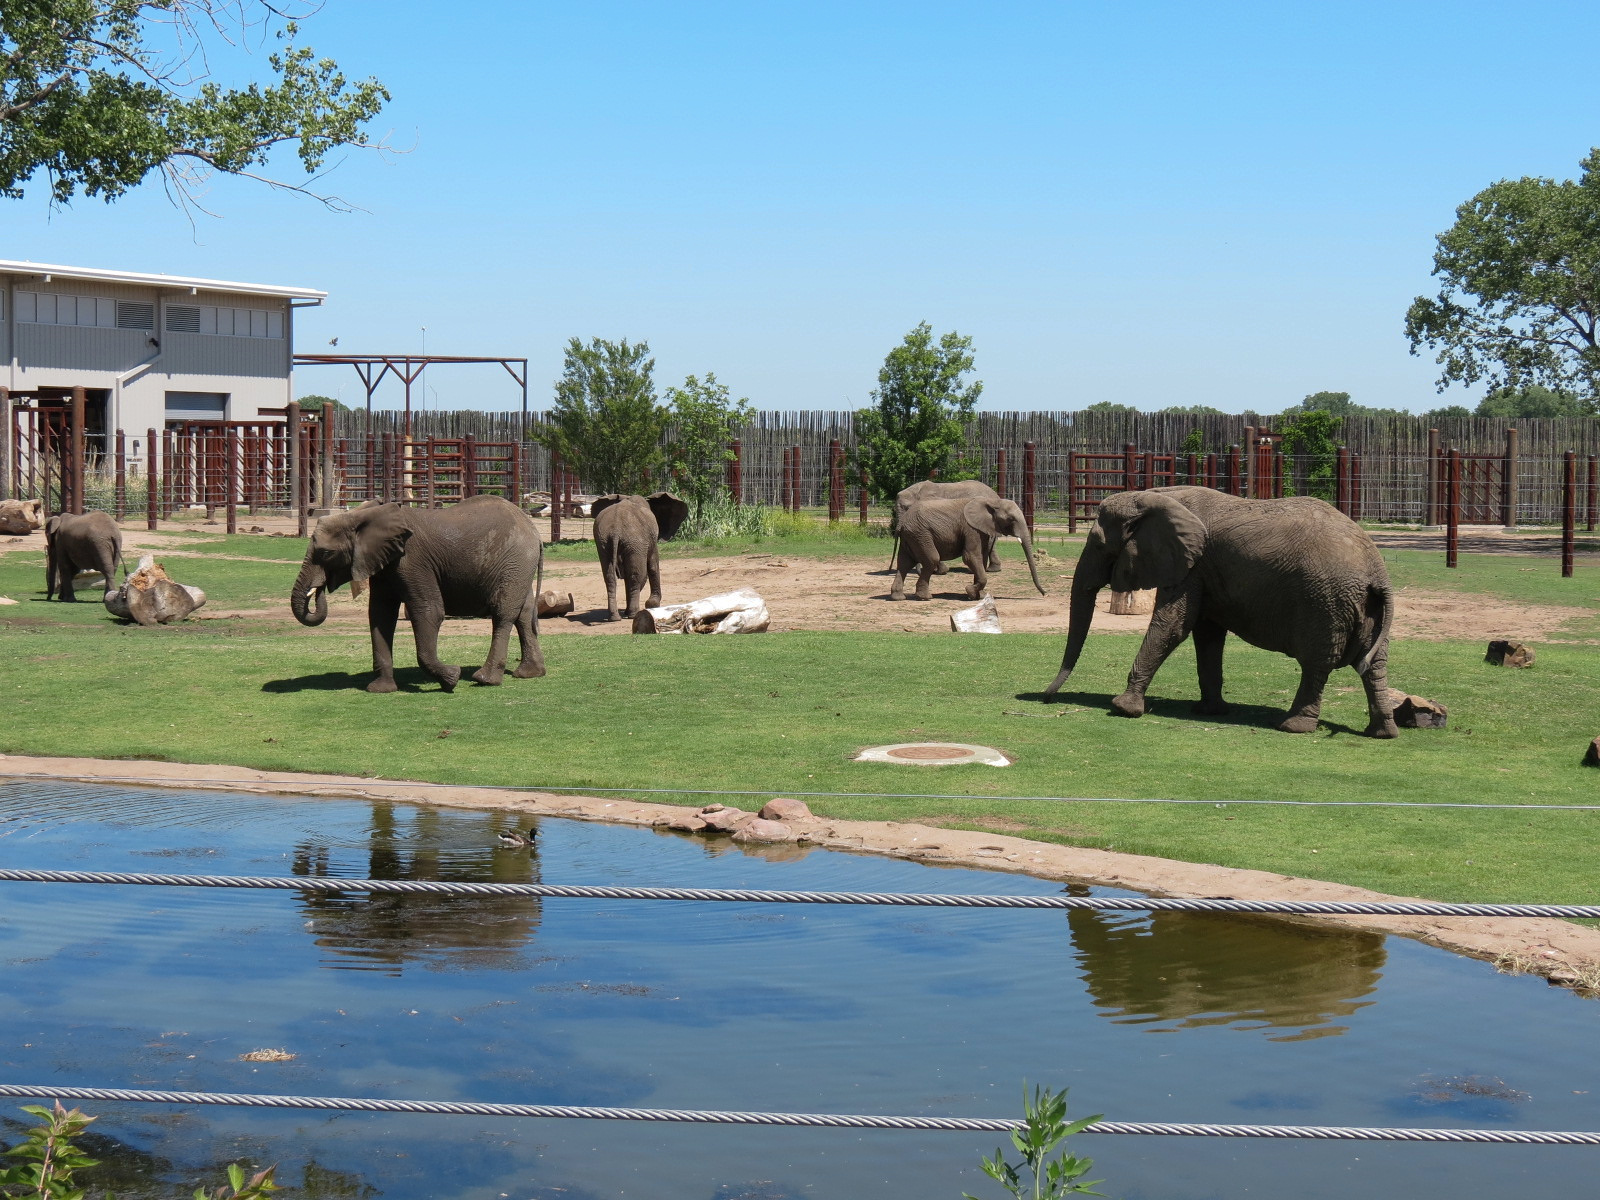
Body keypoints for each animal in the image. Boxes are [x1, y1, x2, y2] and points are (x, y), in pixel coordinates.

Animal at [289, 494, 546, 693]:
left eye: (326, 553)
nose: (319, 589)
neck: (365, 515)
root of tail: (534, 530)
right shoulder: (384, 563)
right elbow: (380, 615)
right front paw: (380, 689)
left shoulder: (412, 560)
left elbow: (429, 611)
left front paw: (451, 678)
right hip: (519, 565)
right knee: (524, 613)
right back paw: (529, 674)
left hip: (515, 560)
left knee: (503, 612)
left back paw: (484, 680)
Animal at [589, 492, 689, 621]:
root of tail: (615, 529)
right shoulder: (650, 540)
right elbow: (652, 565)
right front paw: (652, 604)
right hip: (634, 541)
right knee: (636, 576)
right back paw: (633, 614)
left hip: (603, 542)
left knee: (609, 577)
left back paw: (615, 617)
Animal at [890, 496, 1045, 601]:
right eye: (1011, 519)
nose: (1045, 594)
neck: (992, 501)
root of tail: (901, 523)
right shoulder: (970, 529)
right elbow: (970, 556)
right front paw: (970, 592)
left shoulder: (981, 529)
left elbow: (981, 558)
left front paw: (979, 596)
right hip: (920, 534)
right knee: (931, 559)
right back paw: (926, 597)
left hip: (912, 536)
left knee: (904, 563)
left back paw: (898, 597)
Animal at [1043, 487, 1398, 737]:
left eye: (1098, 545)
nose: (1047, 698)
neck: (1153, 496)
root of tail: (1377, 573)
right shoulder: (1202, 570)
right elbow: (1207, 634)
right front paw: (1209, 711)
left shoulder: (1192, 565)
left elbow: (1173, 625)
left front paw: (1123, 708)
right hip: (1362, 608)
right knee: (1374, 664)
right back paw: (1382, 732)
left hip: (1325, 603)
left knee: (1316, 664)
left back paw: (1293, 726)